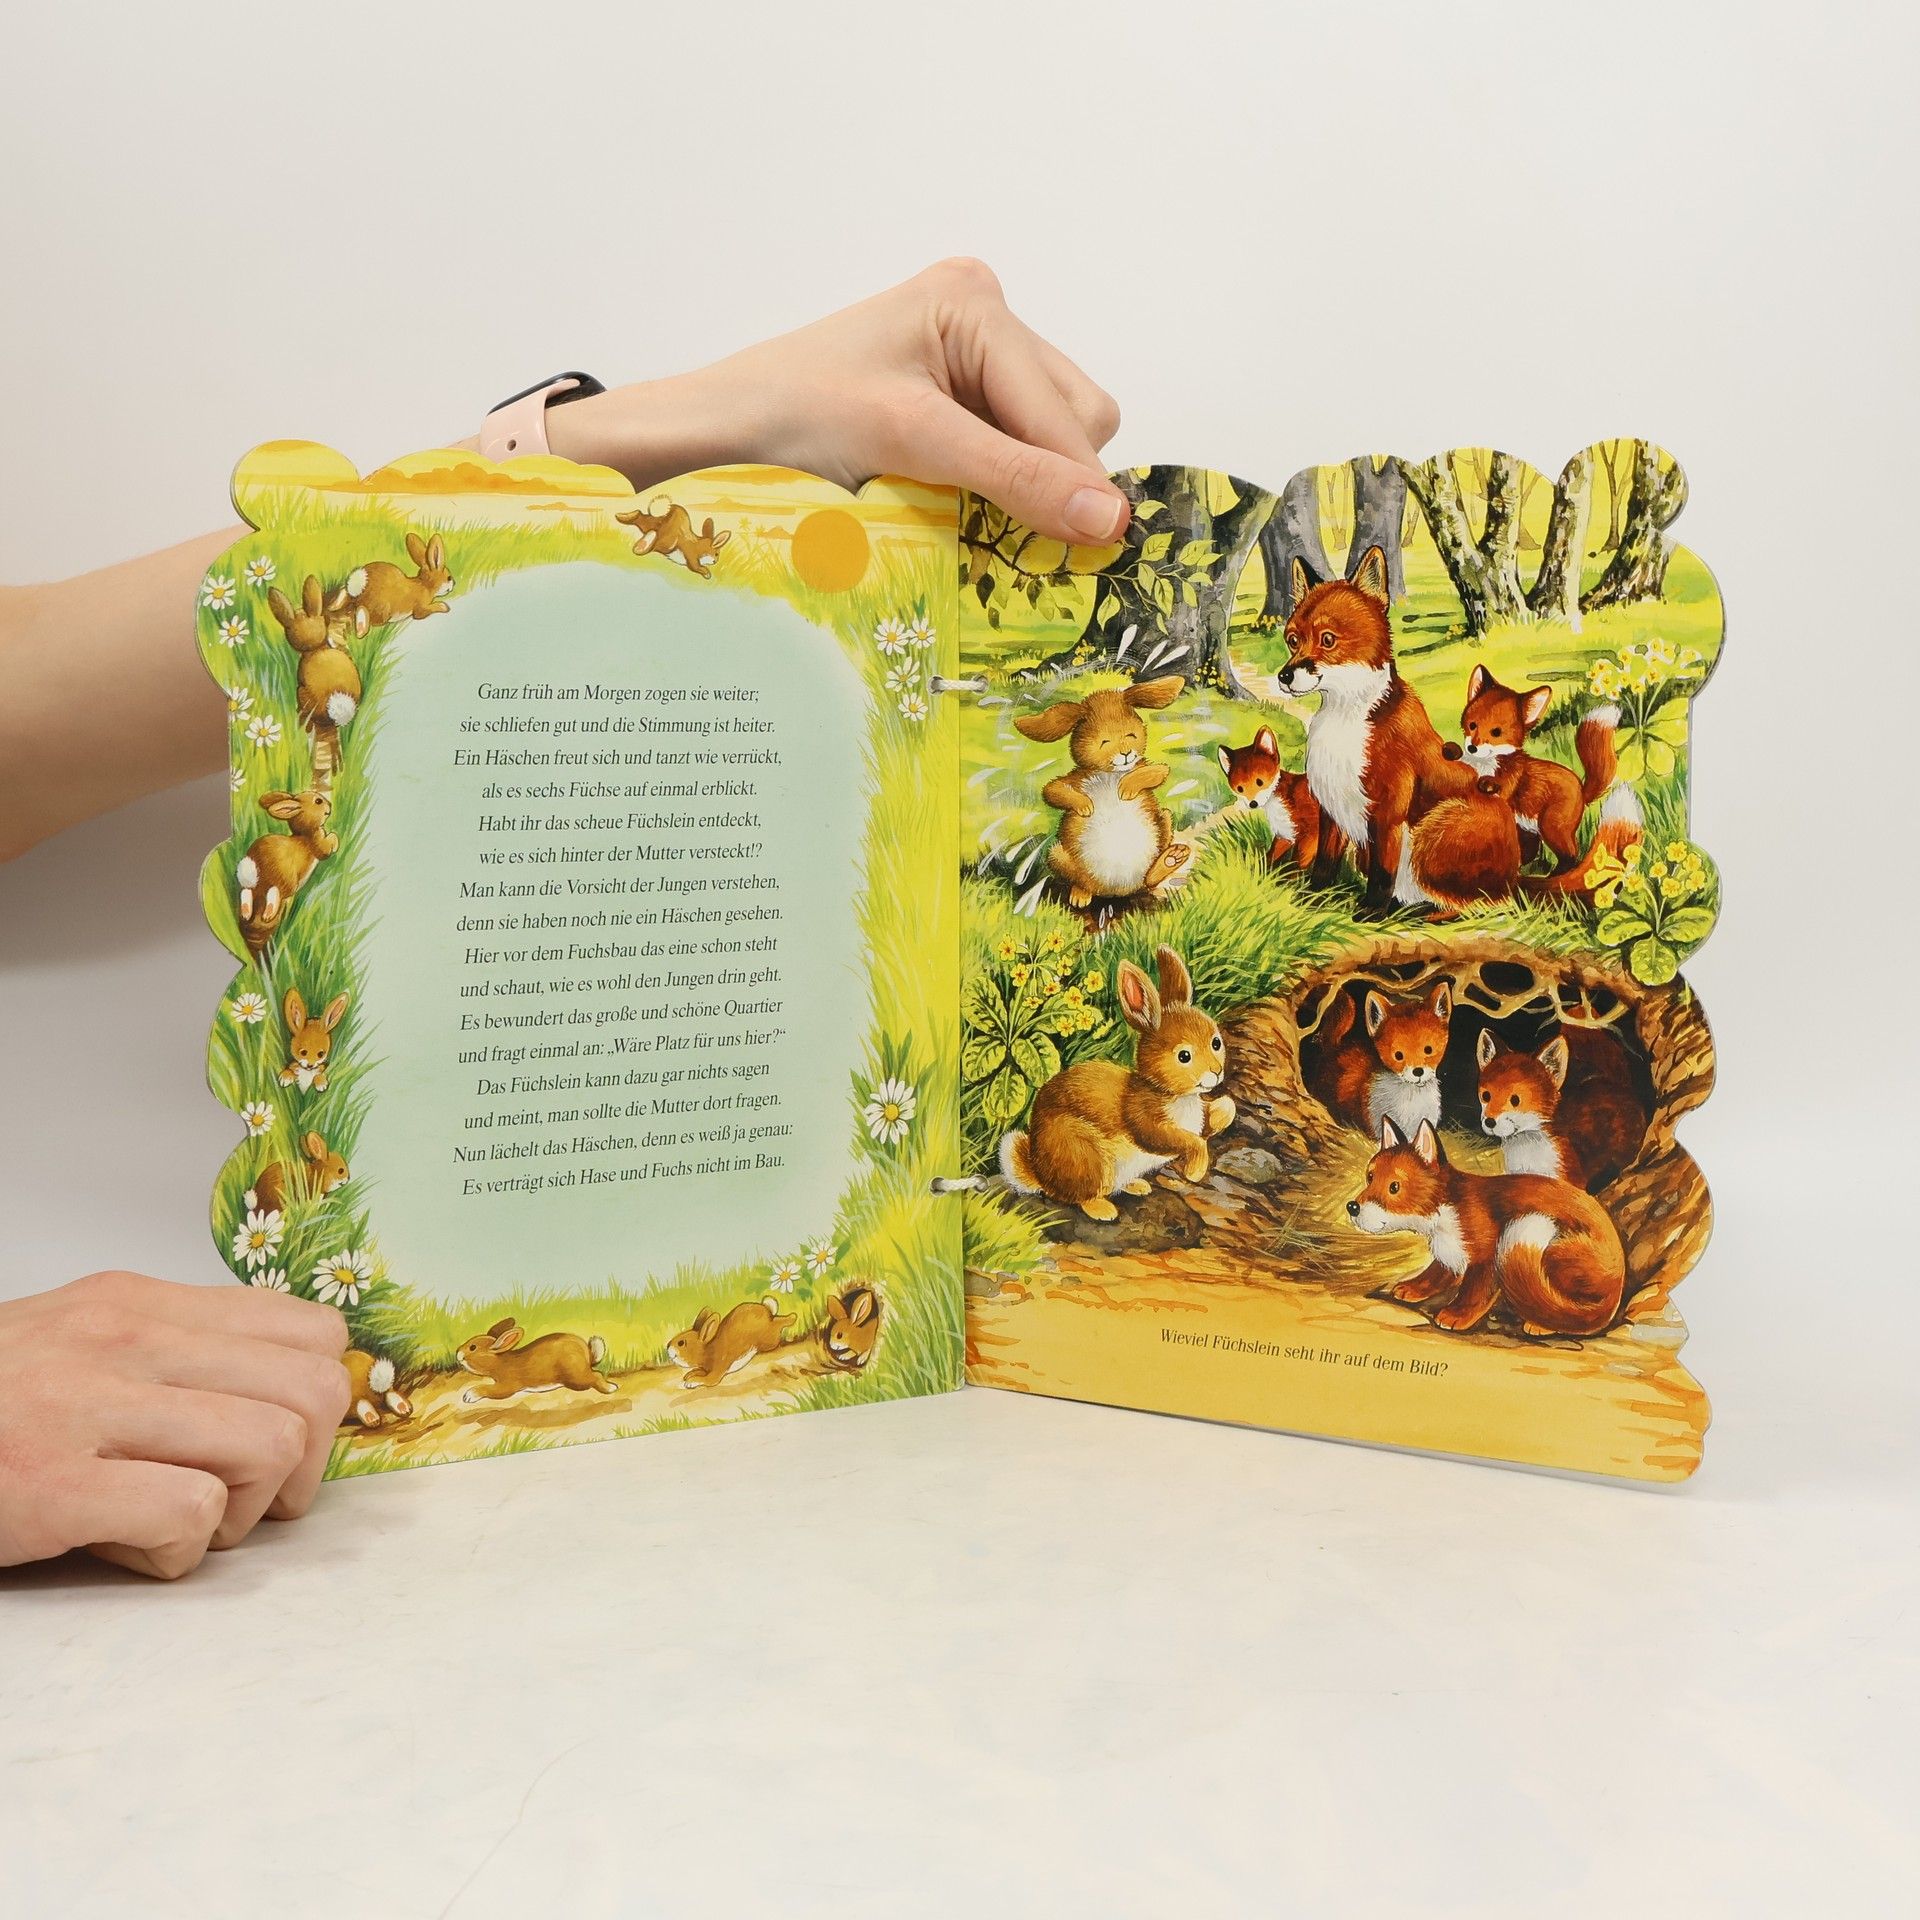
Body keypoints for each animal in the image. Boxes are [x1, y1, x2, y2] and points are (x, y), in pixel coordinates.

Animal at [235, 788, 337, 958]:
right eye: (318, 801)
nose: (329, 805)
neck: (304, 834)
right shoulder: (318, 844)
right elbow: (326, 848)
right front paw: (335, 839)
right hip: (285, 881)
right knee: (274, 895)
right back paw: (269, 913)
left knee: (246, 893)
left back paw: (248, 913)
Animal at [455, 1317, 618, 1403]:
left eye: (472, 1347)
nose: (458, 1353)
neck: (501, 1361)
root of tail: (587, 1355)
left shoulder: (507, 1385)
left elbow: (491, 1390)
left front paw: (469, 1395)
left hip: (575, 1376)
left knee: (596, 1375)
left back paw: (611, 1388)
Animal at [999, 946, 1235, 1221]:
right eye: (1184, 1056)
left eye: (1216, 1042)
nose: (1217, 1072)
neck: (1167, 1092)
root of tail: (1040, 1174)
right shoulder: (1145, 1120)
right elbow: (1184, 1140)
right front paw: (1195, 1171)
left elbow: (1226, 1108)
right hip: (1085, 1155)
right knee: (1081, 1196)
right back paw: (1104, 1210)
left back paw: (1138, 1186)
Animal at [1016, 675, 1192, 908]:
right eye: (1104, 742)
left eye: (1131, 735)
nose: (1126, 754)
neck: (1110, 774)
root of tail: (1116, 891)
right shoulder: (1078, 777)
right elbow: (1052, 790)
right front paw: (1085, 806)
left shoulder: (1142, 766)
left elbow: (1158, 771)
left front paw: (1126, 788)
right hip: (1058, 855)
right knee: (1082, 880)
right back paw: (1080, 896)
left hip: (1164, 820)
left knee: (1149, 879)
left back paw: (1171, 858)